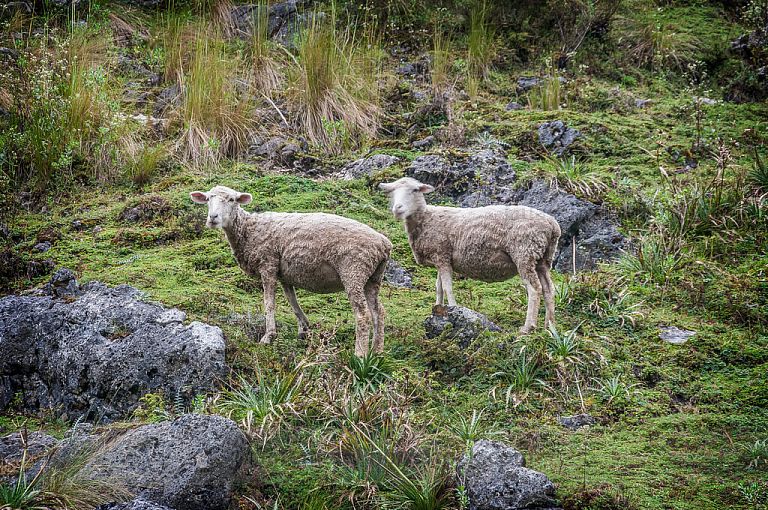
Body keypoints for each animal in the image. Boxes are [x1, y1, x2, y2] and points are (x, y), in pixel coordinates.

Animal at [190, 185, 392, 356]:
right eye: (208, 199)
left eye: (232, 199)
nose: (213, 218)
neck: (249, 229)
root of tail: (384, 244)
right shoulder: (284, 274)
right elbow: (292, 301)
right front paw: (304, 329)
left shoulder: (268, 264)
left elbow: (269, 303)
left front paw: (269, 336)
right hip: (373, 277)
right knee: (378, 312)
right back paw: (377, 350)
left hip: (353, 270)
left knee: (363, 314)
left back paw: (360, 354)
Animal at [378, 177, 561, 334]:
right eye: (392, 191)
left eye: (415, 190)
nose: (397, 208)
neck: (426, 218)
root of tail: (552, 225)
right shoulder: (441, 257)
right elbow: (439, 288)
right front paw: (437, 309)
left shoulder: (442, 256)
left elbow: (447, 287)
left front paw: (452, 310)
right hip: (542, 258)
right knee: (548, 289)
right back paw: (550, 325)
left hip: (524, 254)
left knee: (534, 289)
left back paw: (528, 327)